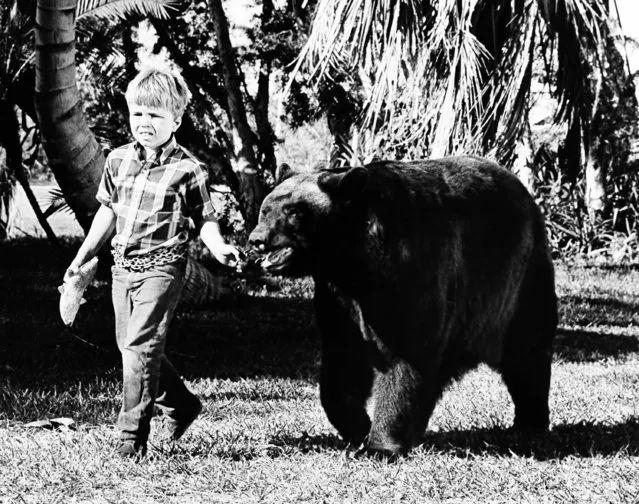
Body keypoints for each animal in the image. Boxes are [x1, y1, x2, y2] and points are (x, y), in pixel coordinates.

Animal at [248, 158, 556, 456]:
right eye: (266, 208)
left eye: (293, 212)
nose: (257, 239)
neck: (350, 260)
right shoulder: (338, 297)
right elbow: (342, 362)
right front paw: (359, 429)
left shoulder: (406, 273)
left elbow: (406, 356)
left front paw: (380, 446)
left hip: (518, 281)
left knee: (528, 352)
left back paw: (529, 423)